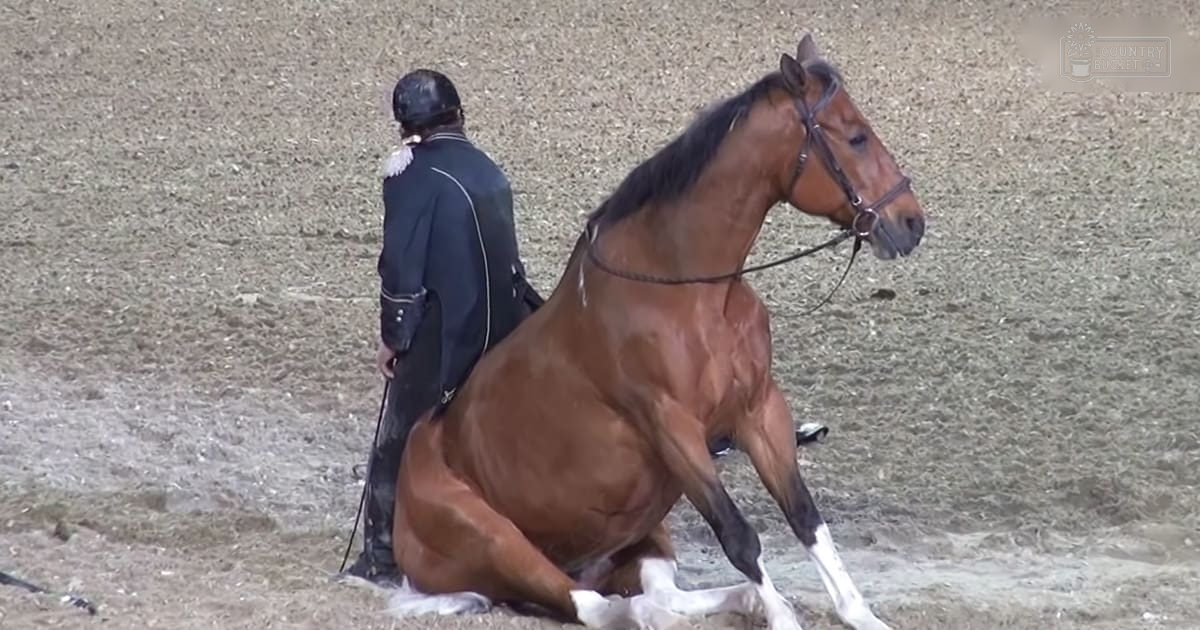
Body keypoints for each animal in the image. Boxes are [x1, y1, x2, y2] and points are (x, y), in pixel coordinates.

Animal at [380, 34, 926, 630]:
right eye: (856, 137)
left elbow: (806, 517)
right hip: (501, 543)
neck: (691, 292)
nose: (911, 222)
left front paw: (859, 614)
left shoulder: (759, 412)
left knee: (658, 598)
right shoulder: (673, 427)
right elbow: (739, 537)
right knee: (601, 608)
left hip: (643, 539)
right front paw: (784, 619)